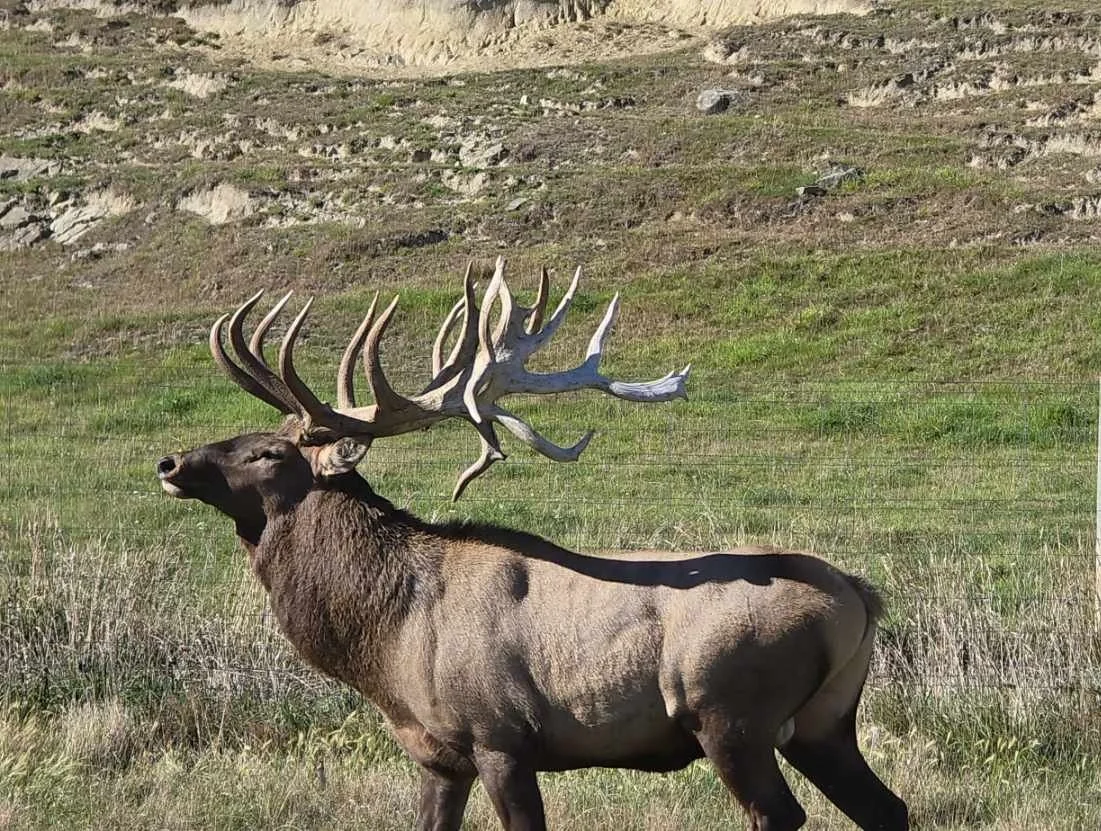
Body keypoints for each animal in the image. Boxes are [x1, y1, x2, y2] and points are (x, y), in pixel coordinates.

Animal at [156, 258, 908, 831]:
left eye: (267, 451)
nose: (170, 463)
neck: (386, 641)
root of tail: (859, 596)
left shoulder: (500, 736)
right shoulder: (437, 753)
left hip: (731, 713)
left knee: (781, 814)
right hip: (825, 721)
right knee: (887, 808)